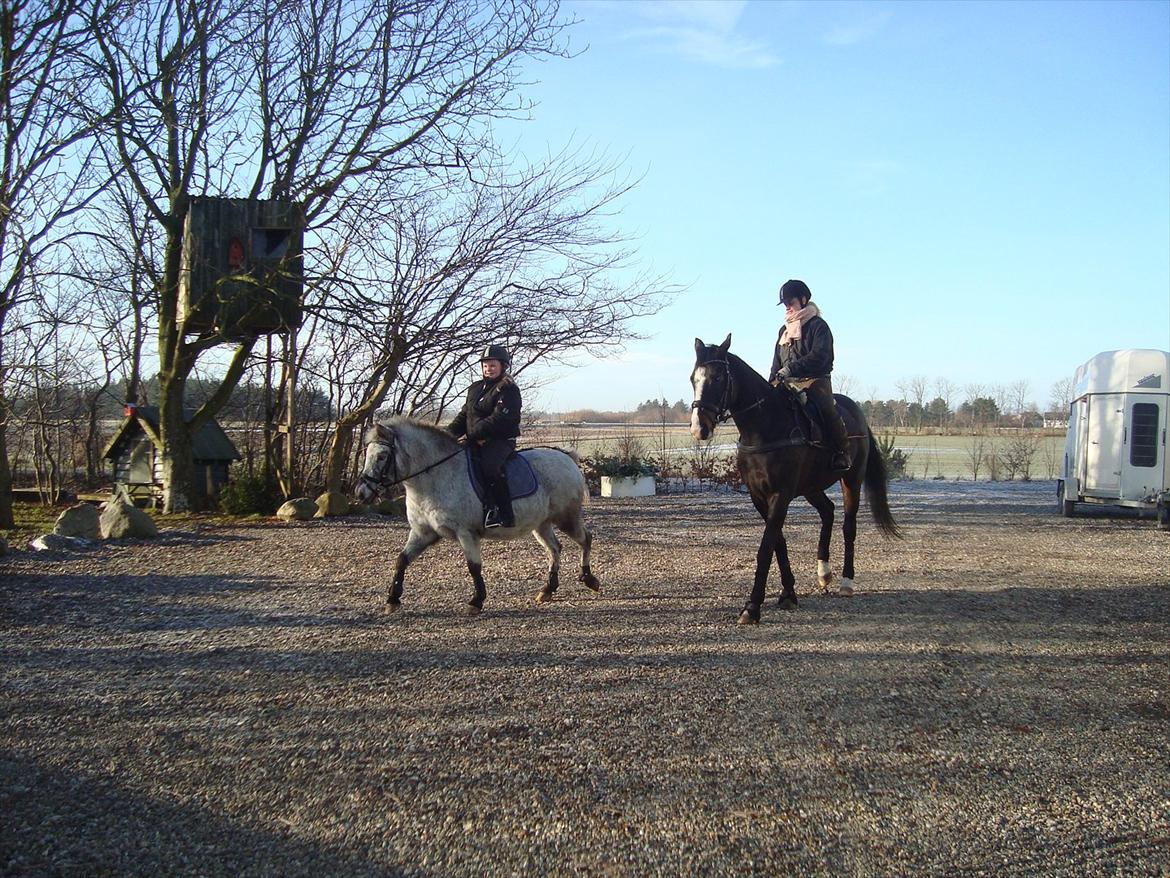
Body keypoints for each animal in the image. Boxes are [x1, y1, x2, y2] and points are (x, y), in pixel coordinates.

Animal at [353, 417, 601, 614]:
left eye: (382, 456)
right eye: (368, 454)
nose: (361, 493)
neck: (436, 477)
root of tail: (566, 457)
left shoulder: (466, 532)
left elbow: (473, 566)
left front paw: (476, 601)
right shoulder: (423, 533)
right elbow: (401, 560)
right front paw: (392, 599)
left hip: (566, 518)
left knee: (585, 539)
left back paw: (589, 579)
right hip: (541, 524)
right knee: (554, 549)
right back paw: (548, 589)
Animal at [690, 335, 899, 625]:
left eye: (718, 377)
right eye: (693, 378)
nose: (699, 428)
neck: (765, 427)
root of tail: (856, 412)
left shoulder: (781, 495)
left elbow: (766, 547)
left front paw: (752, 607)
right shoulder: (759, 496)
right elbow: (778, 543)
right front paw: (788, 593)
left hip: (852, 480)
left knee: (848, 526)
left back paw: (846, 581)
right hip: (812, 487)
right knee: (828, 512)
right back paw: (824, 573)